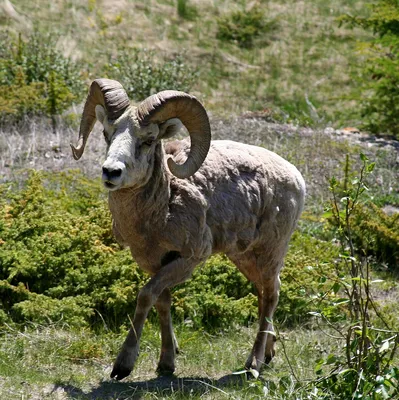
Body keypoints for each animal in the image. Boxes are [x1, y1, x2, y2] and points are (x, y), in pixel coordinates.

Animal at [71, 79, 306, 382]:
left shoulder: (189, 259)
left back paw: (252, 364)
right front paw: (166, 363)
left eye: (148, 140)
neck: (163, 206)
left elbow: (145, 296)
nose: (111, 172)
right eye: (106, 133)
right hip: (244, 258)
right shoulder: (154, 263)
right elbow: (162, 301)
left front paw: (123, 365)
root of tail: (296, 178)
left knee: (271, 295)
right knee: (266, 292)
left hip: (269, 252)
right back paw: (268, 354)